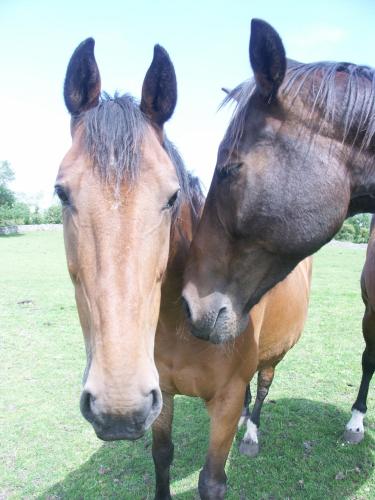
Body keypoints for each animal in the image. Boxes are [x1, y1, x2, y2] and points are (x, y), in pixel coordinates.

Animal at [58, 37, 312, 498]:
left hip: (276, 354)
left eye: (172, 196)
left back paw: (251, 435)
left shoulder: (223, 404)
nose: (117, 406)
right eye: (61, 192)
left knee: (263, 386)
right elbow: (162, 458)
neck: (181, 319)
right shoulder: (161, 395)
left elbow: (211, 480)